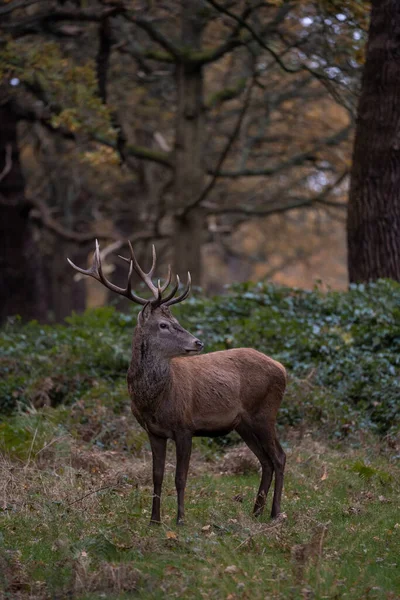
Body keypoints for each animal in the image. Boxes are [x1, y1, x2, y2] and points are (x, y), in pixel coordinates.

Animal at [69, 239, 288, 524]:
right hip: (244, 424)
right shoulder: (153, 432)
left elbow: (180, 477)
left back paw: (275, 513)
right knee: (266, 460)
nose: (198, 342)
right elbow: (157, 476)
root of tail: (282, 368)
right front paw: (154, 520)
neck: (154, 402)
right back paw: (256, 511)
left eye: (177, 320)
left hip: (265, 413)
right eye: (164, 324)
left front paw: (180, 519)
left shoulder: (185, 426)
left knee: (280, 457)